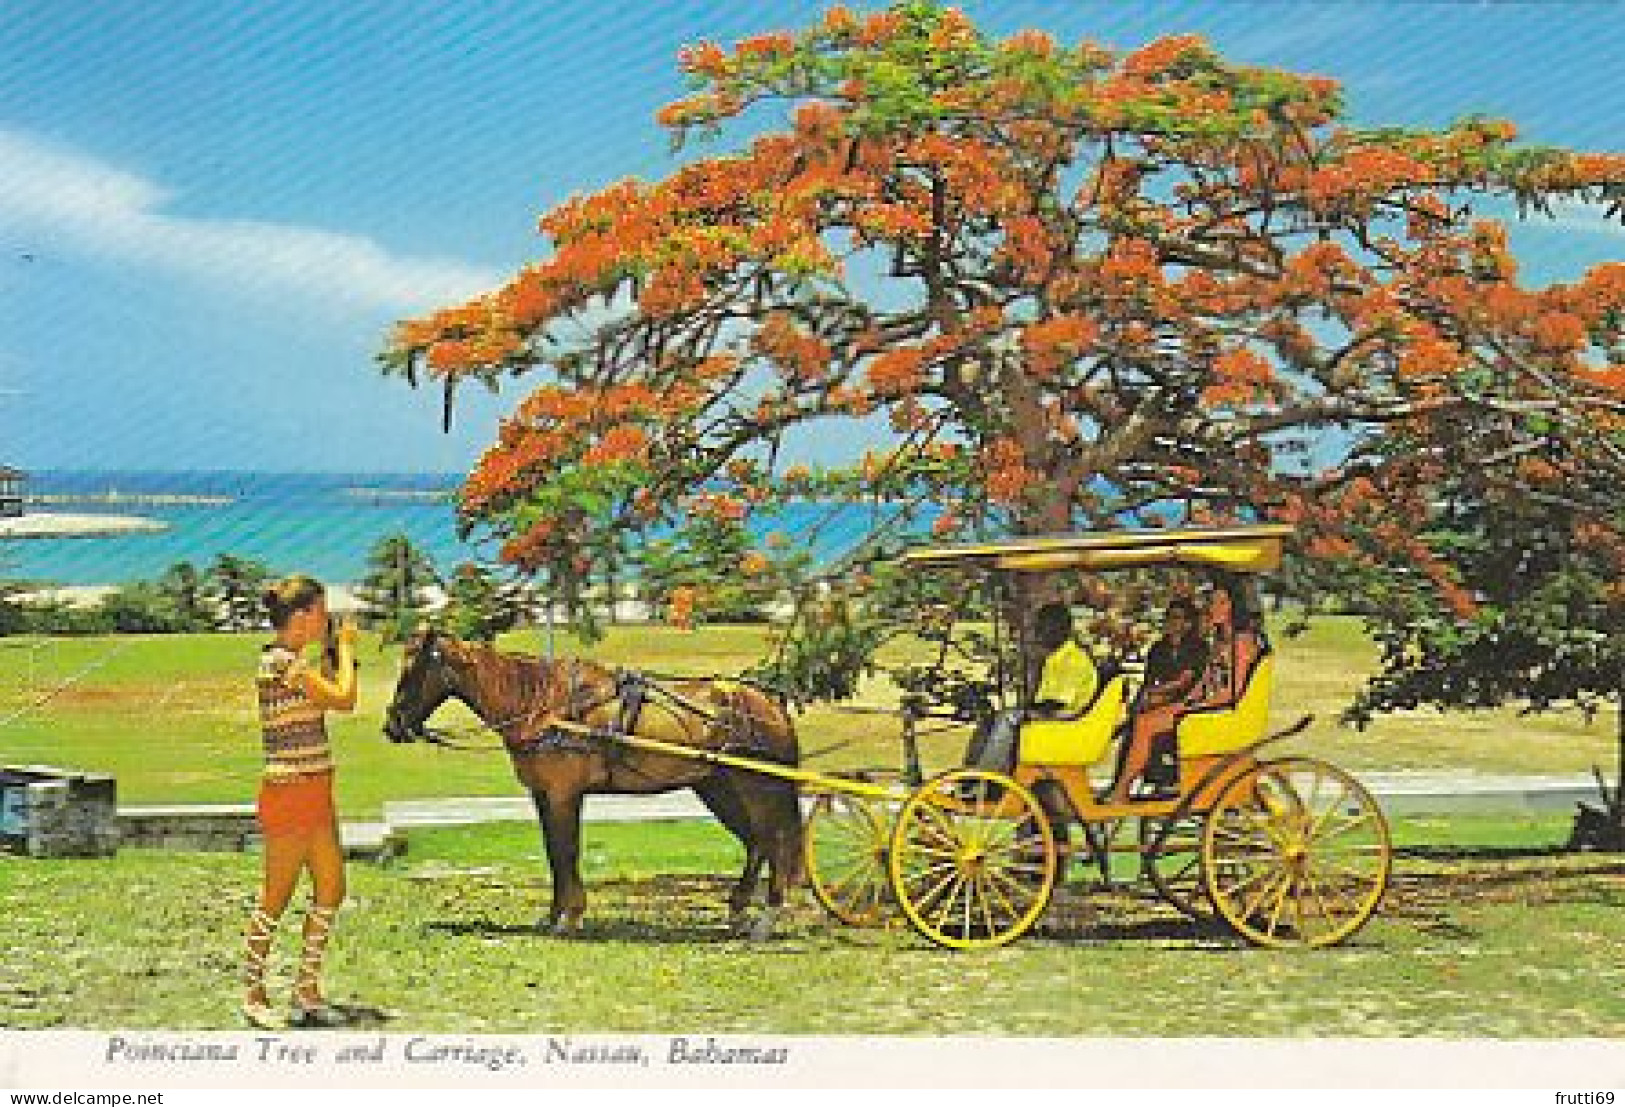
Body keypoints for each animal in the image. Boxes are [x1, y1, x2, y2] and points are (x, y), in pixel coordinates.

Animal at [381, 627, 812, 936]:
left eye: (412, 670)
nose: (393, 726)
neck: (543, 703)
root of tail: (770, 704)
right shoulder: (544, 795)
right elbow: (554, 853)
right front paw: (555, 915)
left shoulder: (563, 794)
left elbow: (565, 851)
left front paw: (569, 917)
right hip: (718, 789)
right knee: (757, 843)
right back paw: (738, 912)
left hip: (757, 788)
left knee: (774, 841)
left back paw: (766, 918)